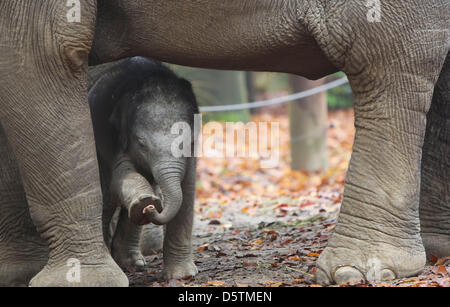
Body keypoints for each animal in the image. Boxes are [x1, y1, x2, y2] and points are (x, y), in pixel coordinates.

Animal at [87, 56, 199, 280]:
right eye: (141, 143)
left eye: (190, 141)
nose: (153, 208)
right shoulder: (112, 138)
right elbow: (121, 176)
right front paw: (145, 202)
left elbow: (187, 189)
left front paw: (182, 276)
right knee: (107, 200)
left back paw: (134, 263)